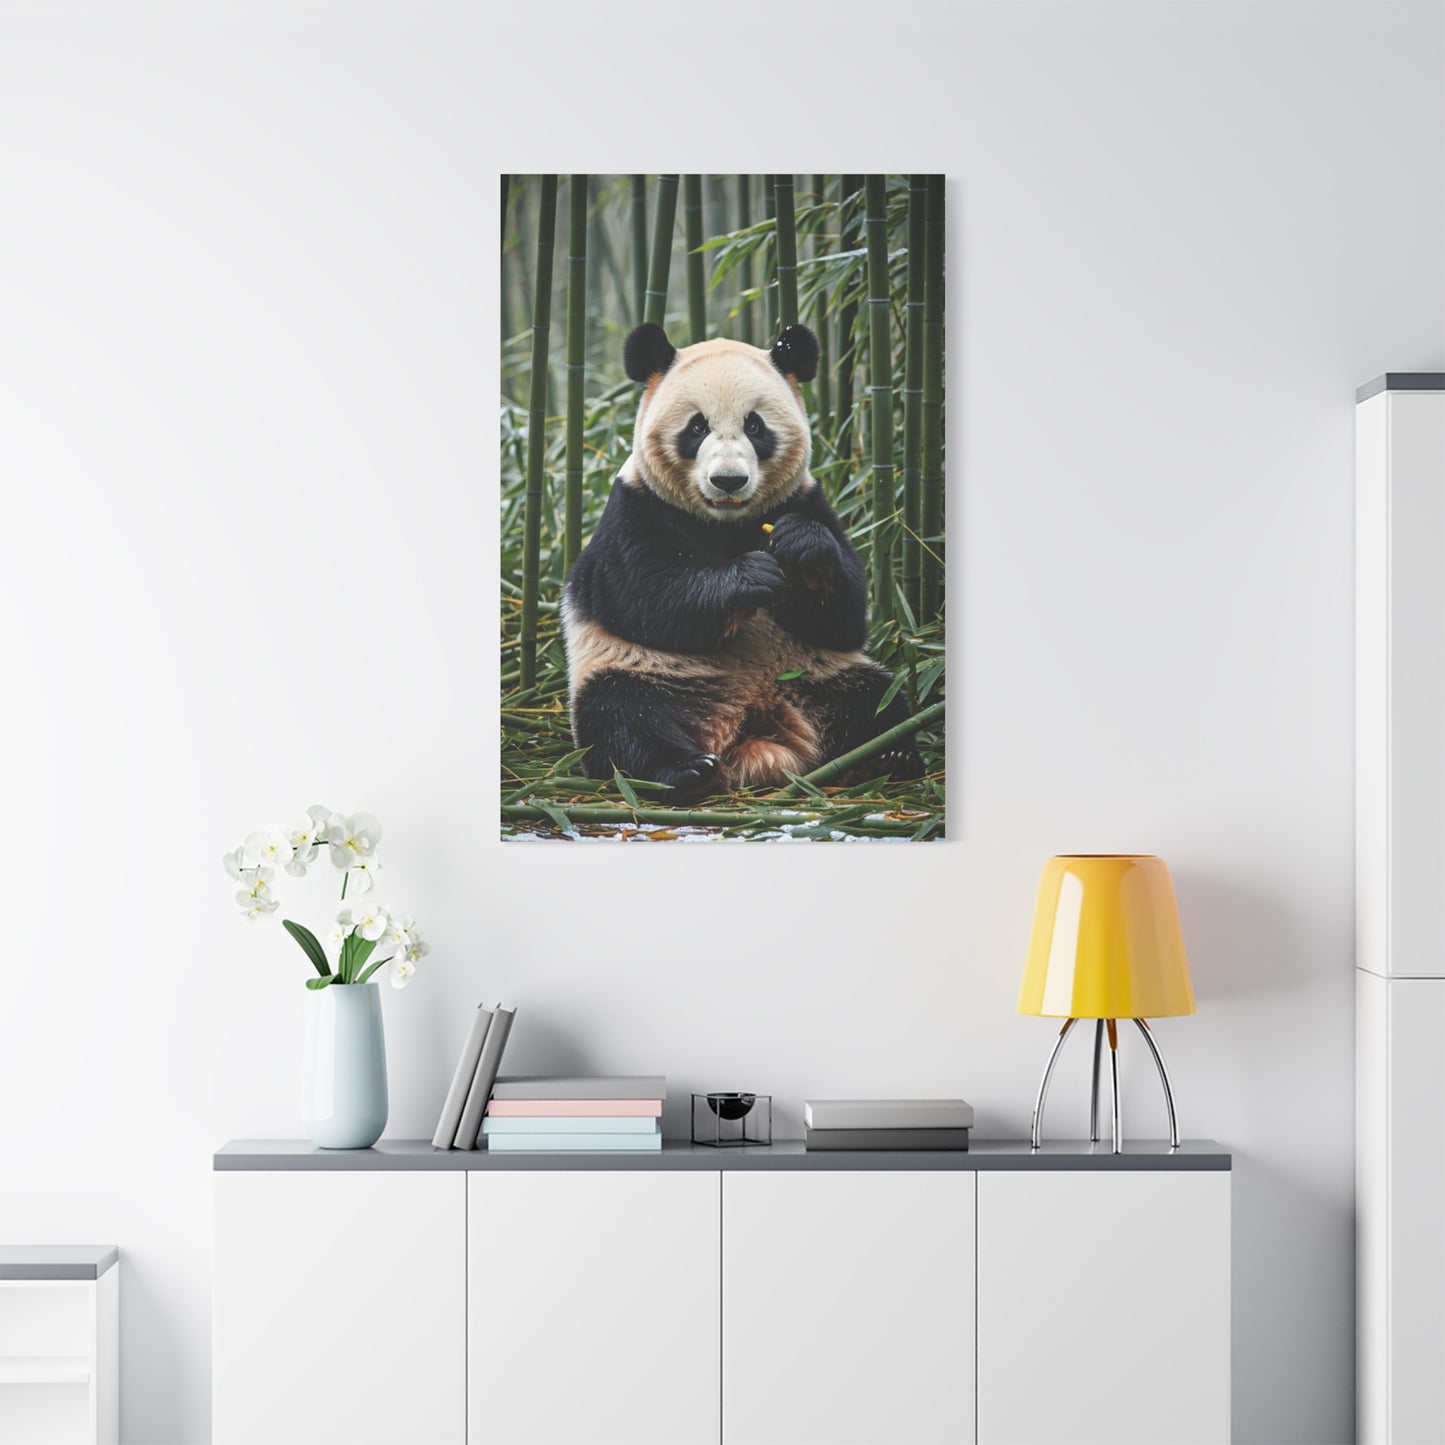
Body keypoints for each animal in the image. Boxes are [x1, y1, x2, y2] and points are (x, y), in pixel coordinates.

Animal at [561, 320, 923, 803]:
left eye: (755, 425)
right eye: (697, 427)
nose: (728, 481)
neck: (725, 522)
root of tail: (754, 720)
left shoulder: (806, 499)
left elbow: (845, 616)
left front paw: (801, 547)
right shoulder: (635, 508)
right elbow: (645, 594)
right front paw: (752, 576)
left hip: (818, 675)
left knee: (878, 702)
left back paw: (887, 757)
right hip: (651, 673)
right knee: (621, 717)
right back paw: (683, 771)